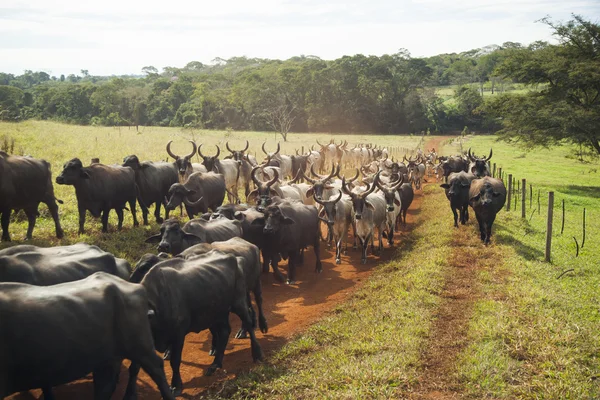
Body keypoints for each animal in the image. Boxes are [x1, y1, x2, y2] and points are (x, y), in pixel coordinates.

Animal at [126, 250, 262, 394]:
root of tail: (235, 258)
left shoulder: (178, 335)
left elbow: (175, 361)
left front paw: (176, 385)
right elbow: (134, 368)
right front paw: (130, 393)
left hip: (238, 302)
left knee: (248, 322)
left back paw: (257, 353)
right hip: (218, 311)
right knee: (225, 332)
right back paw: (215, 364)